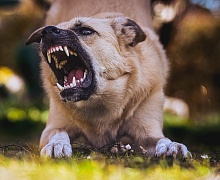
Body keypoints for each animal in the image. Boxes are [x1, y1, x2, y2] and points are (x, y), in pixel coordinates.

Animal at [25, 0, 188, 158]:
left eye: (86, 30)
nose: (46, 31)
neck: (99, 102)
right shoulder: (53, 127)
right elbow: (59, 132)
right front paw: (56, 144)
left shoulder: (149, 131)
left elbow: (161, 139)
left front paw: (171, 146)